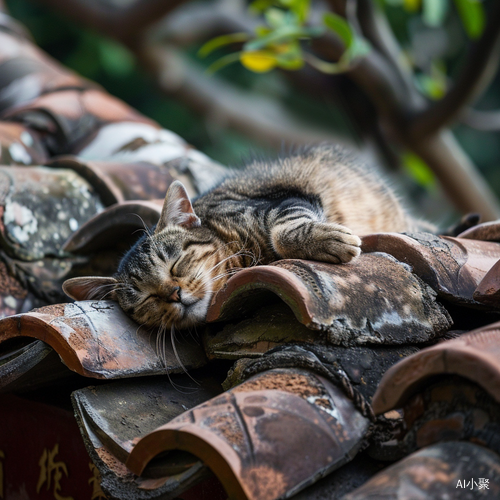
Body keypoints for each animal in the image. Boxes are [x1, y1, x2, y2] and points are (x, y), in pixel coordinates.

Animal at [64, 146, 428, 332]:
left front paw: (329, 239)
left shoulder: (283, 199)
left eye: (176, 264)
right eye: (145, 299)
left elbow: (285, 229)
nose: (174, 295)